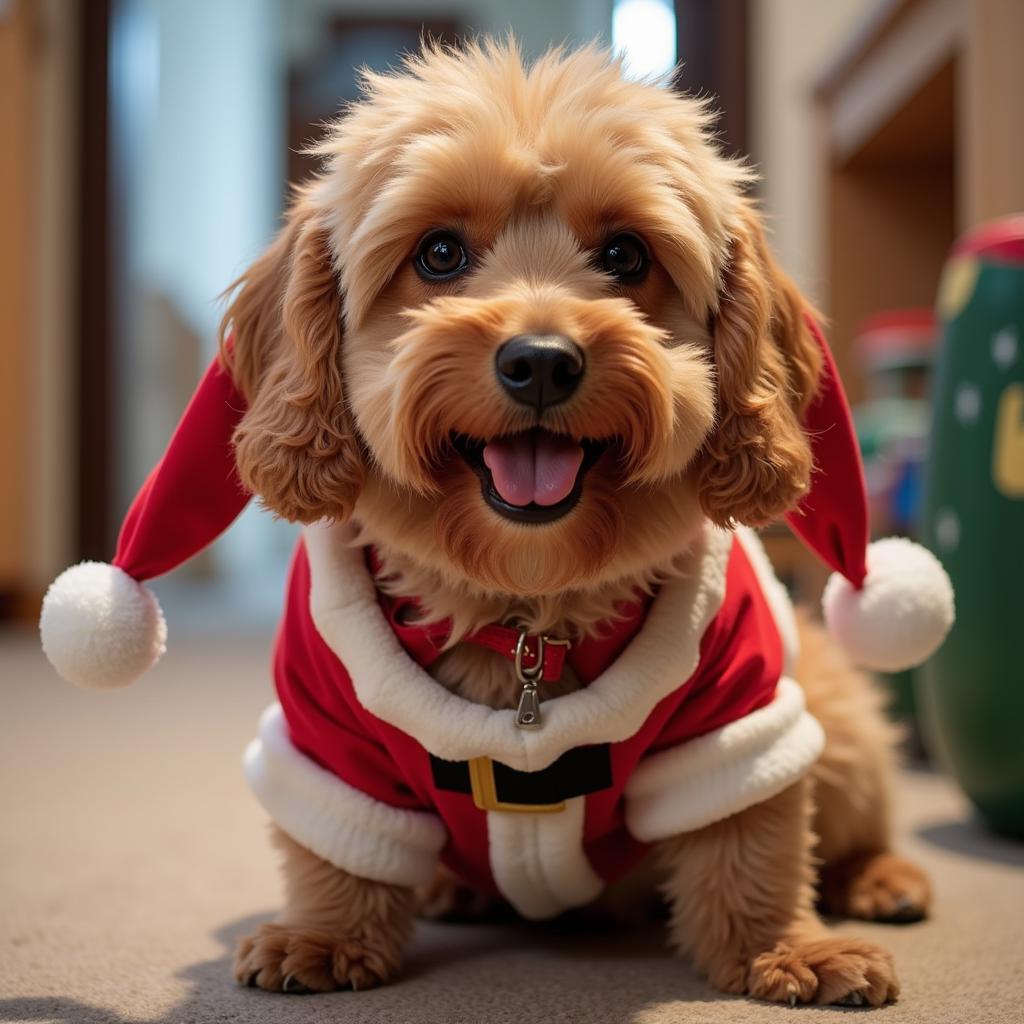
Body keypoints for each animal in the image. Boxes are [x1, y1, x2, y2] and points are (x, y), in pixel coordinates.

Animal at [214, 41, 929, 1007]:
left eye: (626, 254)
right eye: (439, 252)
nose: (543, 361)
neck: (526, 609)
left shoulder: (739, 709)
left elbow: (753, 840)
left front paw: (785, 948)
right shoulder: (327, 723)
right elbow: (338, 849)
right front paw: (324, 937)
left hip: (839, 718)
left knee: (854, 820)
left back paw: (882, 879)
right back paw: (449, 887)